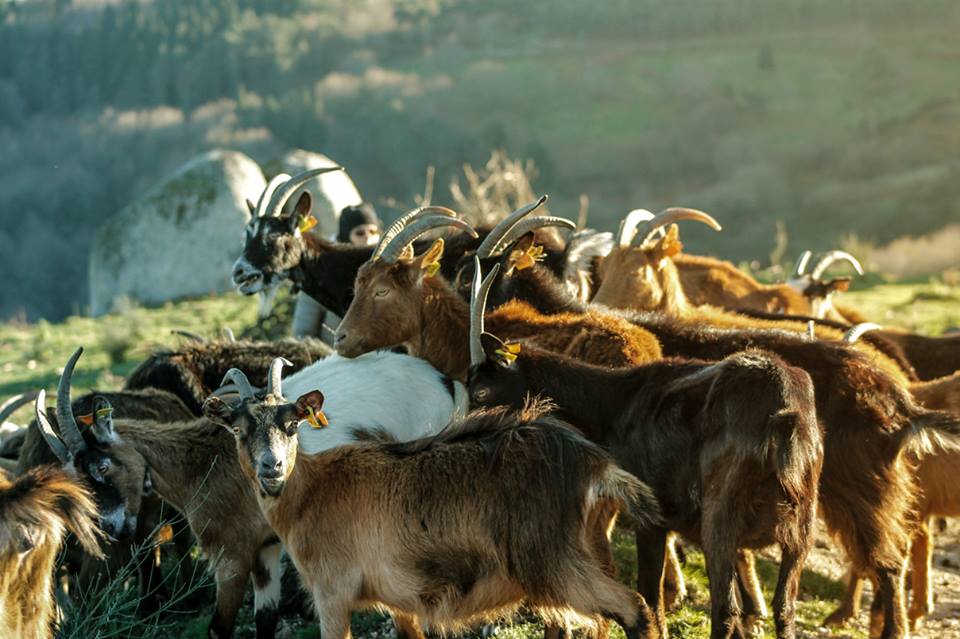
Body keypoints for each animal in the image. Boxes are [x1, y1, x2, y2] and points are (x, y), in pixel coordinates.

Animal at [47, 350, 464, 639]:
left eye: (103, 466)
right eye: (77, 478)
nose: (111, 528)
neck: (203, 462)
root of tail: (444, 382)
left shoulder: (231, 554)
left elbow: (219, 627)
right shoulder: (266, 548)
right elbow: (266, 620)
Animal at [204, 364, 660, 639]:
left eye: (292, 425)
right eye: (239, 429)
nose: (272, 466)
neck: (312, 491)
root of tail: (595, 465)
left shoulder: (332, 594)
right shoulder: (398, 598)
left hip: (555, 563)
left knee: (634, 608)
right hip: (587, 554)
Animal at [468, 260, 820, 639]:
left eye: (480, 392)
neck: (614, 404)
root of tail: (784, 410)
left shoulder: (652, 516)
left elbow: (651, 597)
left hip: (721, 517)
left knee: (726, 609)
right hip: (800, 528)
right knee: (784, 608)